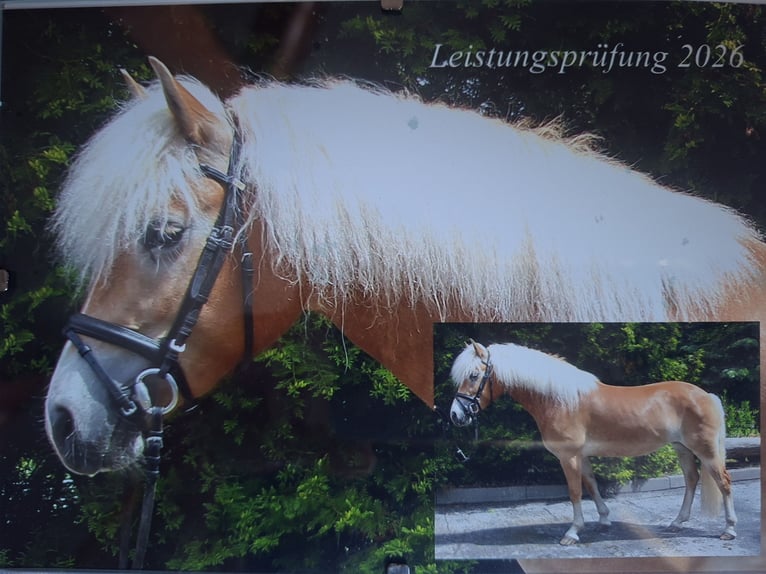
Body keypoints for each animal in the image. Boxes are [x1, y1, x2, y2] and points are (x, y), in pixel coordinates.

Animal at [449, 340, 738, 546]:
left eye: (473, 375)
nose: (456, 415)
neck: (560, 400)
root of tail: (706, 395)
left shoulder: (568, 456)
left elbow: (575, 492)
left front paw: (572, 533)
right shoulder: (581, 456)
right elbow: (591, 484)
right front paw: (604, 520)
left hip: (706, 451)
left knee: (723, 482)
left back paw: (729, 529)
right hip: (682, 448)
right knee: (691, 479)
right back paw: (677, 522)